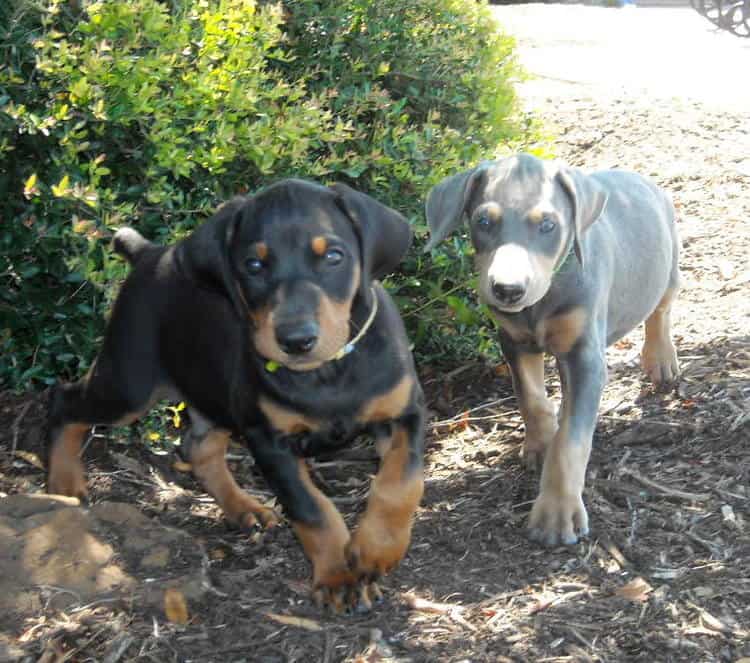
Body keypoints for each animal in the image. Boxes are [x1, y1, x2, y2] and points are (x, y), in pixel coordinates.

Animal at [47, 179, 426, 616]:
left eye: (334, 256)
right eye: (253, 265)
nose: (296, 340)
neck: (328, 372)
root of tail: (150, 253)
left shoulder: (407, 412)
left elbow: (401, 482)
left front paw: (375, 550)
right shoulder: (268, 439)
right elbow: (311, 508)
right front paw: (338, 577)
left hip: (211, 391)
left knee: (199, 448)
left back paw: (244, 508)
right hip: (129, 385)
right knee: (63, 401)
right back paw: (63, 485)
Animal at [428, 157, 680, 548]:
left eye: (548, 225)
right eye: (483, 221)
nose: (508, 290)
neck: (542, 302)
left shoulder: (585, 358)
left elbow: (571, 442)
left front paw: (556, 515)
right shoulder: (513, 340)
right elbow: (530, 398)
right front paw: (539, 443)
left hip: (669, 263)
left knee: (661, 309)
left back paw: (661, 359)